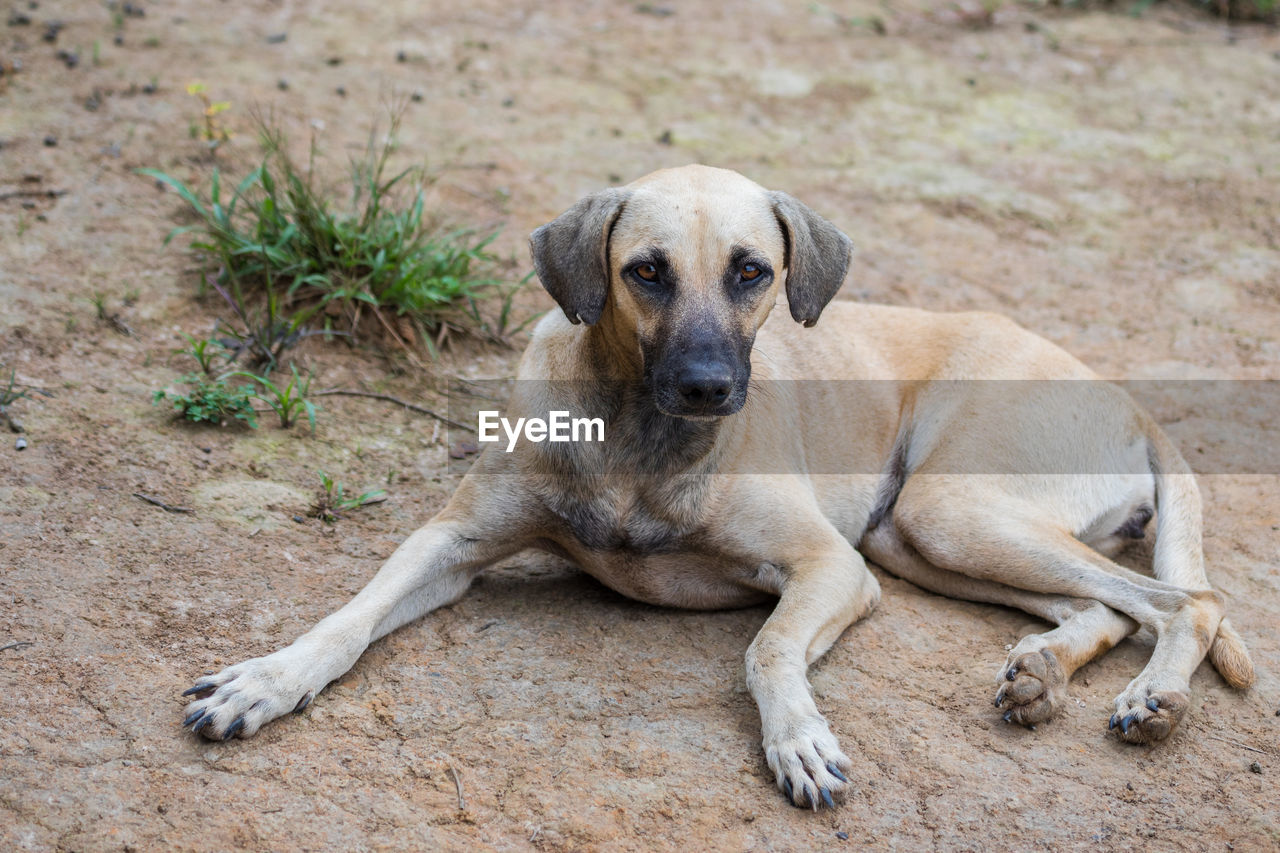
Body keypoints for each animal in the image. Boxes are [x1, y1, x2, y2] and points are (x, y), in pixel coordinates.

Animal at [180, 162, 1249, 809]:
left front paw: (798, 741)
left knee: (1184, 600)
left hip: (940, 515)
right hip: (927, 535)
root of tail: (1131, 397)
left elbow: (767, 649)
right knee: (1110, 607)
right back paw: (1041, 674)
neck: (639, 441)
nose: (708, 386)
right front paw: (265, 680)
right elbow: (346, 619)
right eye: (645, 271)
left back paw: (1152, 699)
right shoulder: (450, 546)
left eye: (752, 272)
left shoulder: (830, 569)